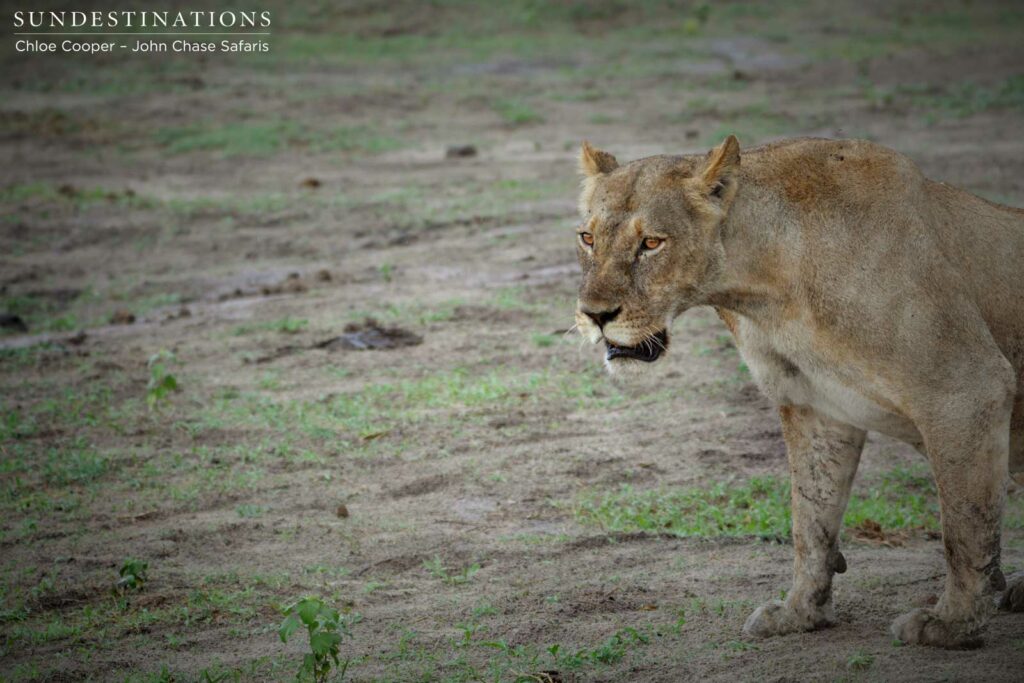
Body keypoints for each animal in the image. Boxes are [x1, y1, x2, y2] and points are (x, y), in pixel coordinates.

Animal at [573, 135, 1024, 648]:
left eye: (651, 243)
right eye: (587, 238)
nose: (594, 315)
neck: (766, 290)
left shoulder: (967, 387)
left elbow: (964, 526)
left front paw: (953, 624)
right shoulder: (815, 408)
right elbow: (810, 522)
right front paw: (801, 612)